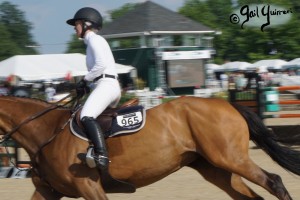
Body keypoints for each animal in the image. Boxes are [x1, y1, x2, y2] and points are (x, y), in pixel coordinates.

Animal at [0, 95, 298, 200]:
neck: (47, 132)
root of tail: (227, 103)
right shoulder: (48, 192)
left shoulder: (89, 187)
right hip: (217, 168)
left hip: (230, 159)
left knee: (274, 181)